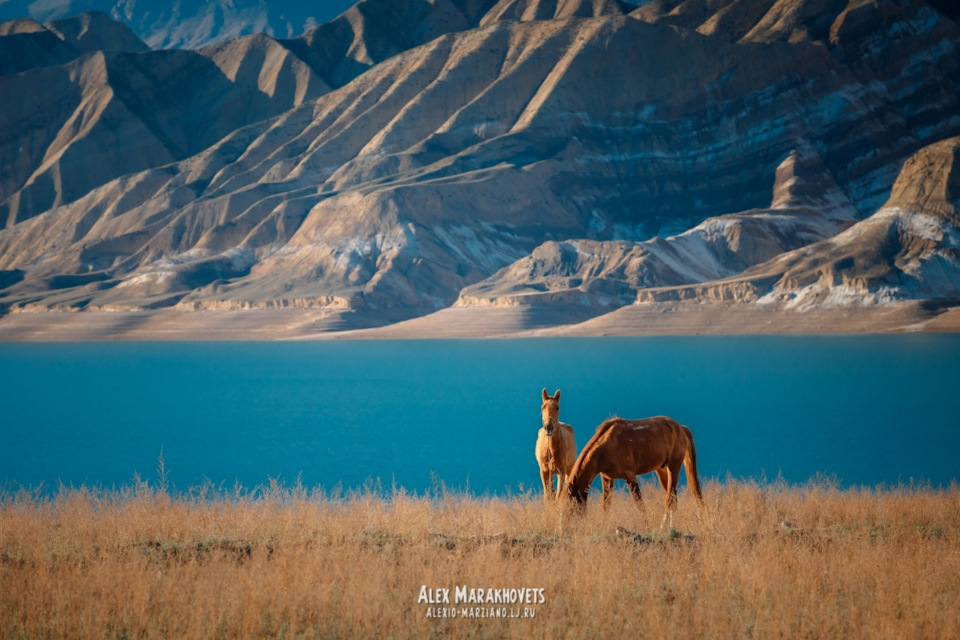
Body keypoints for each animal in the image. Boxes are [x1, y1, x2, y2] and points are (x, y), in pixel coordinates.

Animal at [564, 418, 704, 528]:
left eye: (570, 505)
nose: (564, 529)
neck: (607, 445)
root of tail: (681, 428)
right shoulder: (607, 478)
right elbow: (606, 506)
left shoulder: (630, 477)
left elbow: (640, 505)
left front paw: (647, 527)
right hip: (662, 469)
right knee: (673, 499)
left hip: (673, 466)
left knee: (670, 499)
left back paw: (662, 527)